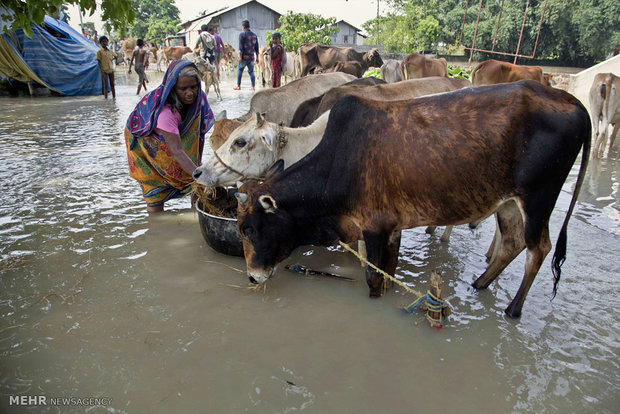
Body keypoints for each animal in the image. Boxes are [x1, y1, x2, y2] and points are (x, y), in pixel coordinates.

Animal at [236, 81, 592, 320]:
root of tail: (575, 104)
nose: (252, 276)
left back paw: (513, 308)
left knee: (538, 249)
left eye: (249, 229)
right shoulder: (392, 228)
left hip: (538, 199)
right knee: (512, 243)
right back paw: (479, 284)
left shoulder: (375, 228)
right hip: (507, 203)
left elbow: (373, 278)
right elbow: (389, 272)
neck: (339, 162)